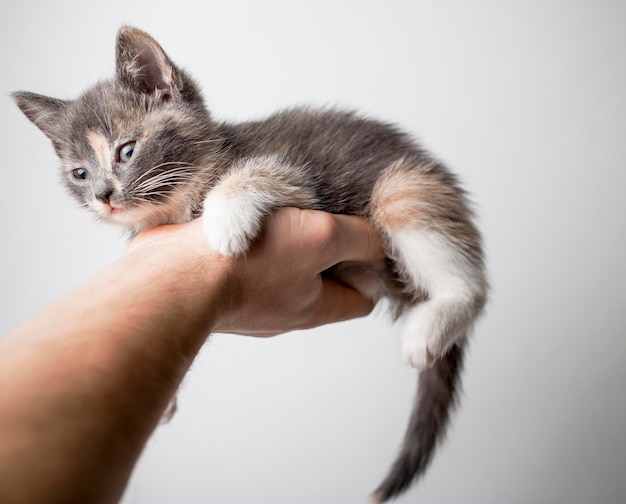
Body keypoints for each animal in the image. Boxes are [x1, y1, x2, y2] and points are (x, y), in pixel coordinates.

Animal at [12, 28, 486, 504]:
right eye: (80, 174)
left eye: (126, 151)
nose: (103, 196)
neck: (184, 193)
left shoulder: (300, 180)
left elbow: (254, 173)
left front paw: (224, 222)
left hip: (401, 185)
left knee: (467, 283)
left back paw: (433, 325)